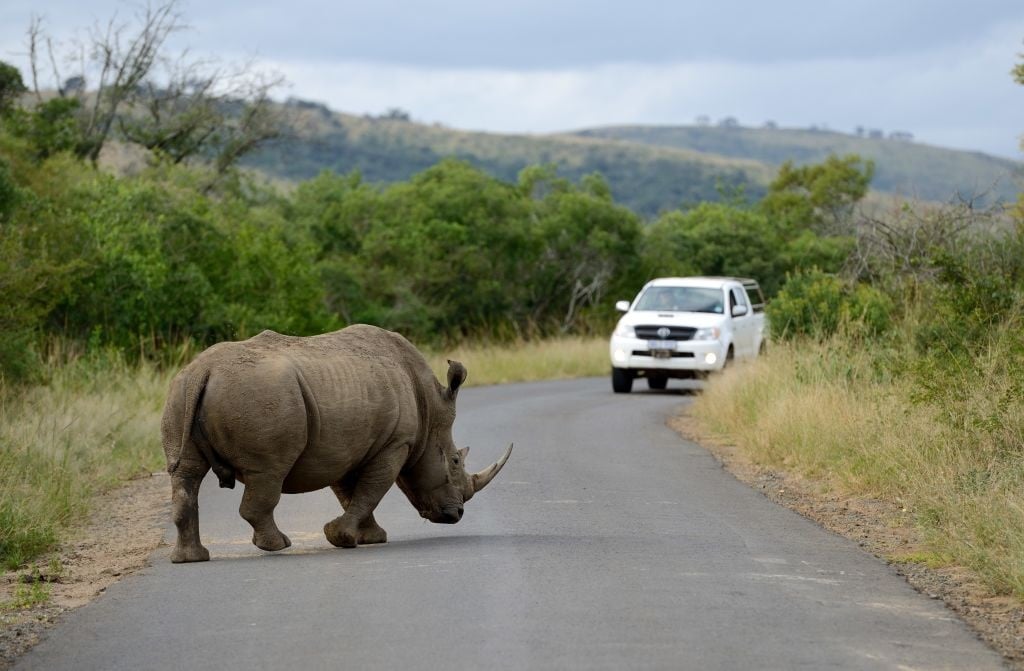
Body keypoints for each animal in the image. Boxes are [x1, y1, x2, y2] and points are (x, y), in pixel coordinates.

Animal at [159, 323, 512, 561]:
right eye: (454, 461)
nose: (457, 515)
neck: (429, 408)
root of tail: (204, 370)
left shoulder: (345, 448)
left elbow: (351, 492)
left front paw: (370, 537)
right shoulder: (395, 444)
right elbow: (371, 491)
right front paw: (341, 537)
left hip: (179, 394)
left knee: (186, 475)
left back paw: (191, 559)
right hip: (261, 398)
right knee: (269, 472)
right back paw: (279, 545)